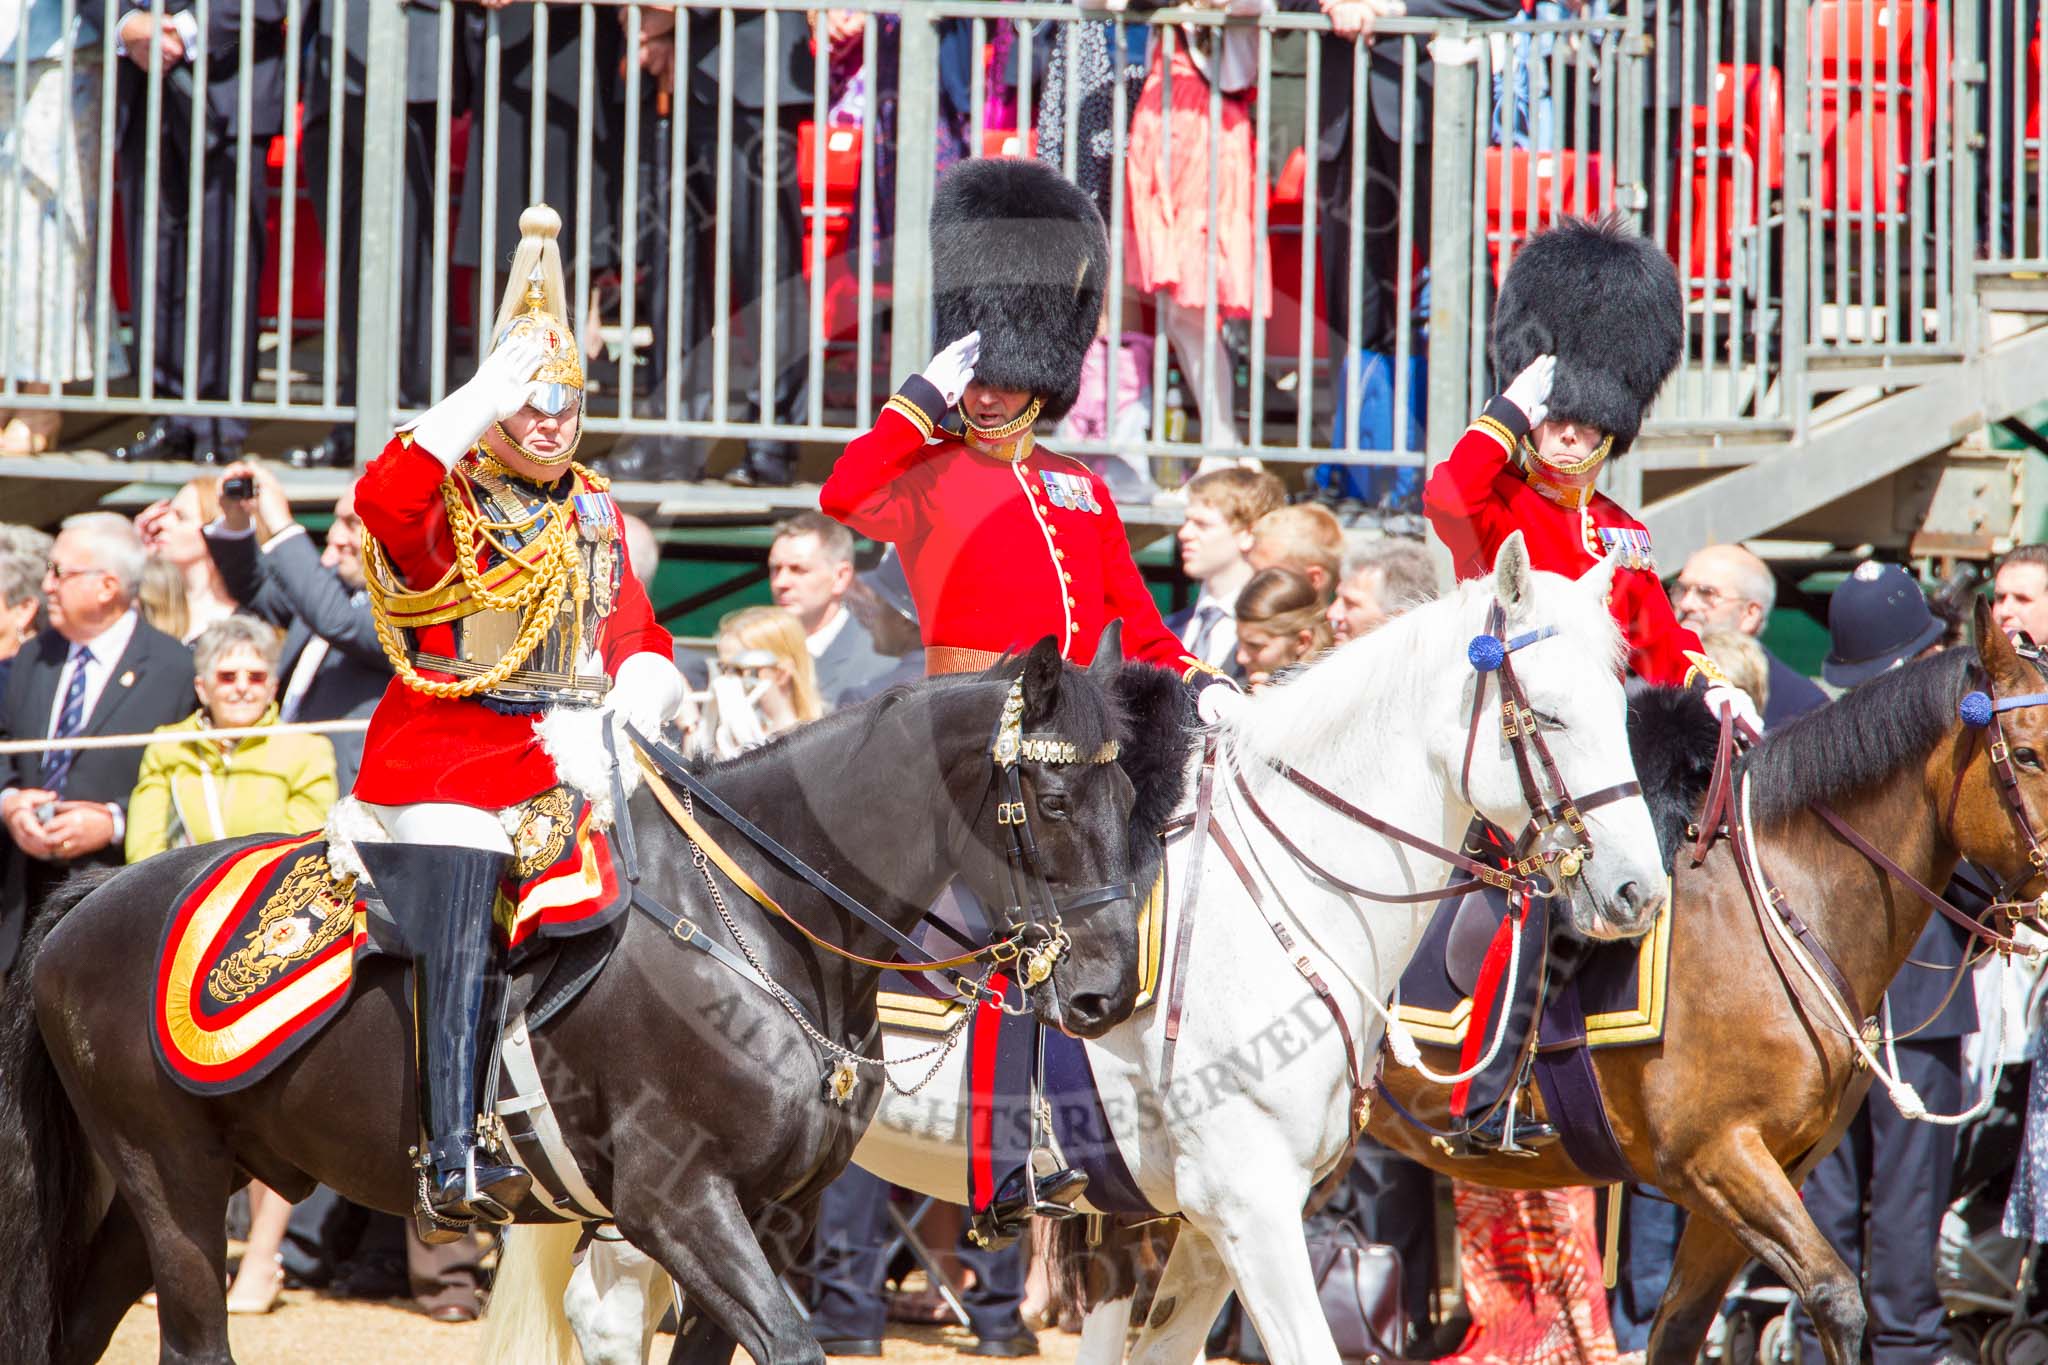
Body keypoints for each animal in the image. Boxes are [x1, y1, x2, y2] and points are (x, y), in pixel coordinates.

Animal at [0, 638, 1187, 1365]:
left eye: (1139, 796)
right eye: (1050, 796)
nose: (1099, 991)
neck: (760, 923)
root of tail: (97, 894)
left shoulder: (777, 1215)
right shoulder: (678, 1203)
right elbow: (789, 1339)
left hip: (146, 1192)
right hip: (172, 1183)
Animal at [487, 532, 1671, 1365]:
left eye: (1626, 707)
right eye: (1549, 718)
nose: (1636, 889)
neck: (1289, 900)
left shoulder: (1202, 1228)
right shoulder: (1248, 1207)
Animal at [1368, 609, 2048, 1365]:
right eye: (2026, 755)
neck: (1777, 910)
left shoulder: (1759, 1173)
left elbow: (1682, 1324)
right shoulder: (1717, 1157)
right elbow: (1836, 1295)